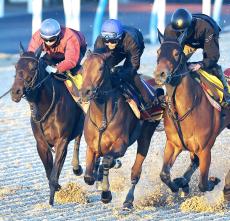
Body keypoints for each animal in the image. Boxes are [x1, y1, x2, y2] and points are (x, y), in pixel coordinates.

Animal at [10, 45, 84, 205]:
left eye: (33, 67)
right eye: (16, 66)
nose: (15, 92)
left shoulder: (62, 140)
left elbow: (54, 174)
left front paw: (51, 201)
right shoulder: (41, 143)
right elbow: (50, 171)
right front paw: (57, 187)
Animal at [80, 50, 159, 209]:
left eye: (100, 68)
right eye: (83, 67)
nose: (85, 92)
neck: (103, 116)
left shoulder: (120, 145)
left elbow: (106, 161)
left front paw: (106, 194)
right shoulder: (91, 147)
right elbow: (88, 176)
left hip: (145, 136)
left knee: (135, 172)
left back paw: (128, 200)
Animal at [154, 34, 230, 199]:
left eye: (177, 53)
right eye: (158, 51)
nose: (159, 74)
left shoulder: (205, 150)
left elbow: (203, 184)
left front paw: (214, 180)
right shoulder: (173, 144)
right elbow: (164, 174)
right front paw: (179, 184)